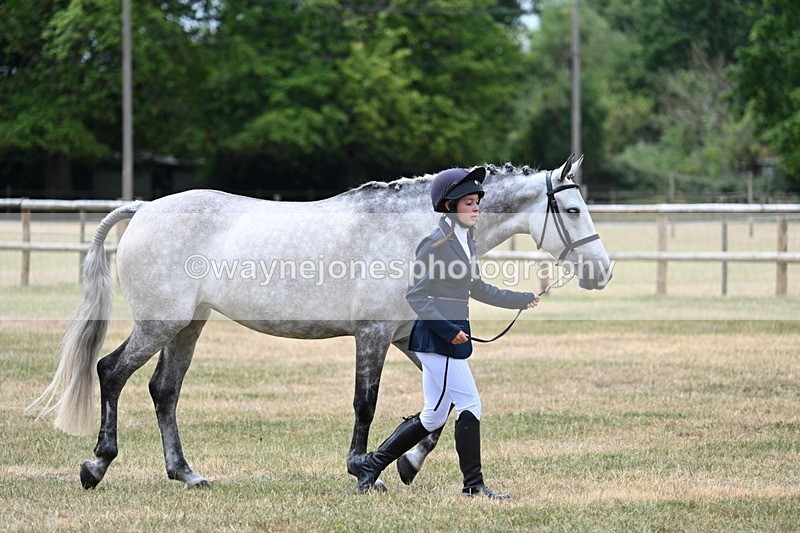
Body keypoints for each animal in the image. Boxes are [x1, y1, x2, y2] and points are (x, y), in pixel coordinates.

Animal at [28, 154, 612, 490]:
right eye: (574, 210)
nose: (602, 272)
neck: (413, 231)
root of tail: (145, 208)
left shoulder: (409, 336)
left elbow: (438, 409)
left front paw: (406, 463)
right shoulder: (373, 336)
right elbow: (366, 402)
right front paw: (363, 470)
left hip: (187, 326)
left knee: (163, 390)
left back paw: (186, 473)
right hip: (160, 323)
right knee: (111, 372)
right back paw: (96, 466)